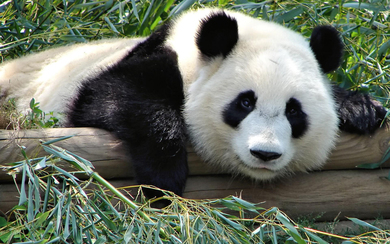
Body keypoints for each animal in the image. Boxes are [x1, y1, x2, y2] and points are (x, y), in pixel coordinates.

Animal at [0, 8, 384, 198]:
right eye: (245, 103)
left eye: (294, 111)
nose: (265, 153)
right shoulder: (149, 59)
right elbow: (109, 96)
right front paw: (164, 176)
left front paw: (361, 109)